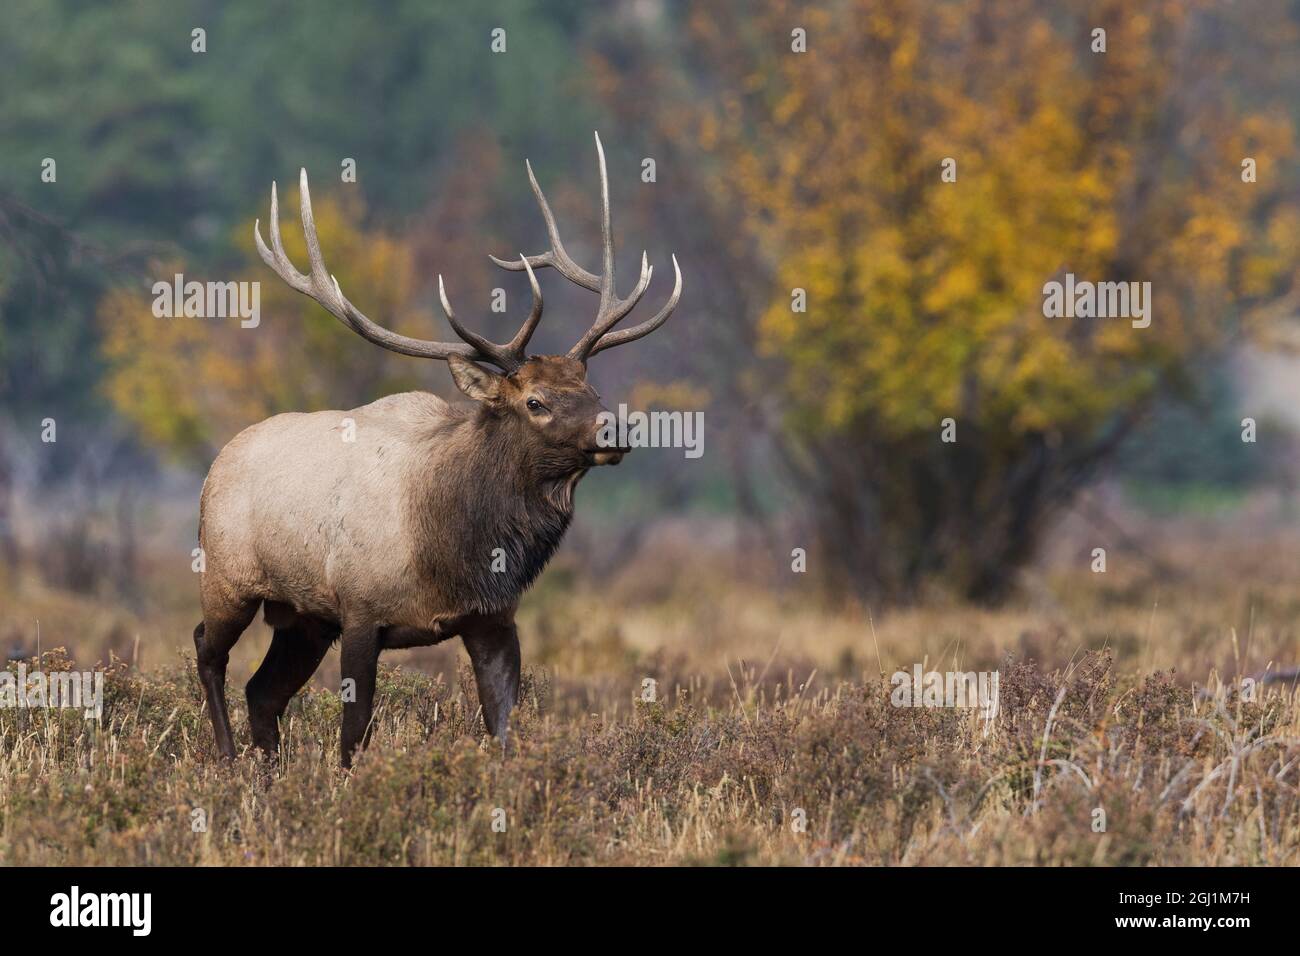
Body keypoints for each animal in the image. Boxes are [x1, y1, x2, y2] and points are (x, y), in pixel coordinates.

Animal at [194, 133, 681, 768]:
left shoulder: (492, 619)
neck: (455, 550)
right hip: (229, 577)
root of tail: (214, 467)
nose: (615, 430)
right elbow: (354, 736)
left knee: (262, 692)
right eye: (535, 401)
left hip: (303, 618)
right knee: (208, 651)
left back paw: (268, 773)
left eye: (593, 391)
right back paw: (228, 760)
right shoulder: (360, 610)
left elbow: (502, 726)